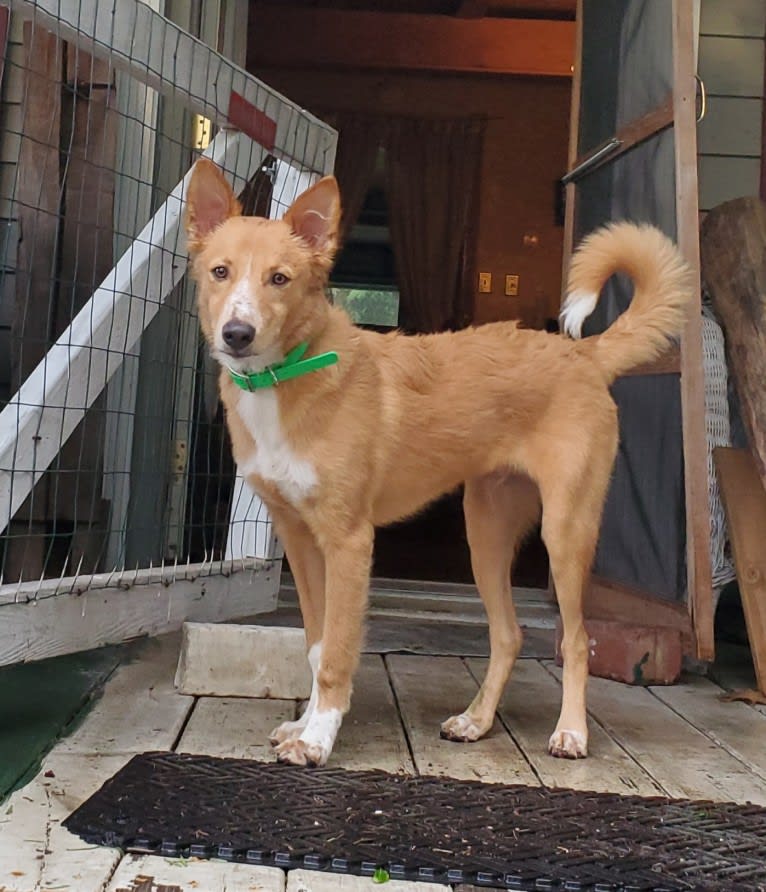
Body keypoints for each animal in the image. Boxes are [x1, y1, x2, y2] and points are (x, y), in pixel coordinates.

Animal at [188, 159, 696, 768]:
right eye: (220, 272)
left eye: (279, 279)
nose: (236, 335)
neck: (287, 376)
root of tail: (583, 353)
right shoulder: (301, 542)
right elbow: (315, 645)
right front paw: (306, 725)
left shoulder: (349, 541)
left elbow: (336, 651)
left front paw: (318, 739)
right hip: (486, 534)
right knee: (509, 636)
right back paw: (476, 721)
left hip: (566, 529)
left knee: (575, 640)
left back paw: (571, 732)